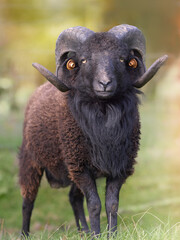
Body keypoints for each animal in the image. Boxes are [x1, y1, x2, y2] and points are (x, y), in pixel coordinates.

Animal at [18, 23, 167, 237]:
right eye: (84, 60)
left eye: (122, 59)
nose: (104, 84)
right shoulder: (81, 167)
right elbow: (95, 204)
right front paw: (97, 235)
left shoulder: (119, 167)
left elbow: (112, 204)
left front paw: (111, 235)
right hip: (31, 160)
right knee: (27, 200)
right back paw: (25, 234)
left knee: (73, 198)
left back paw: (84, 232)